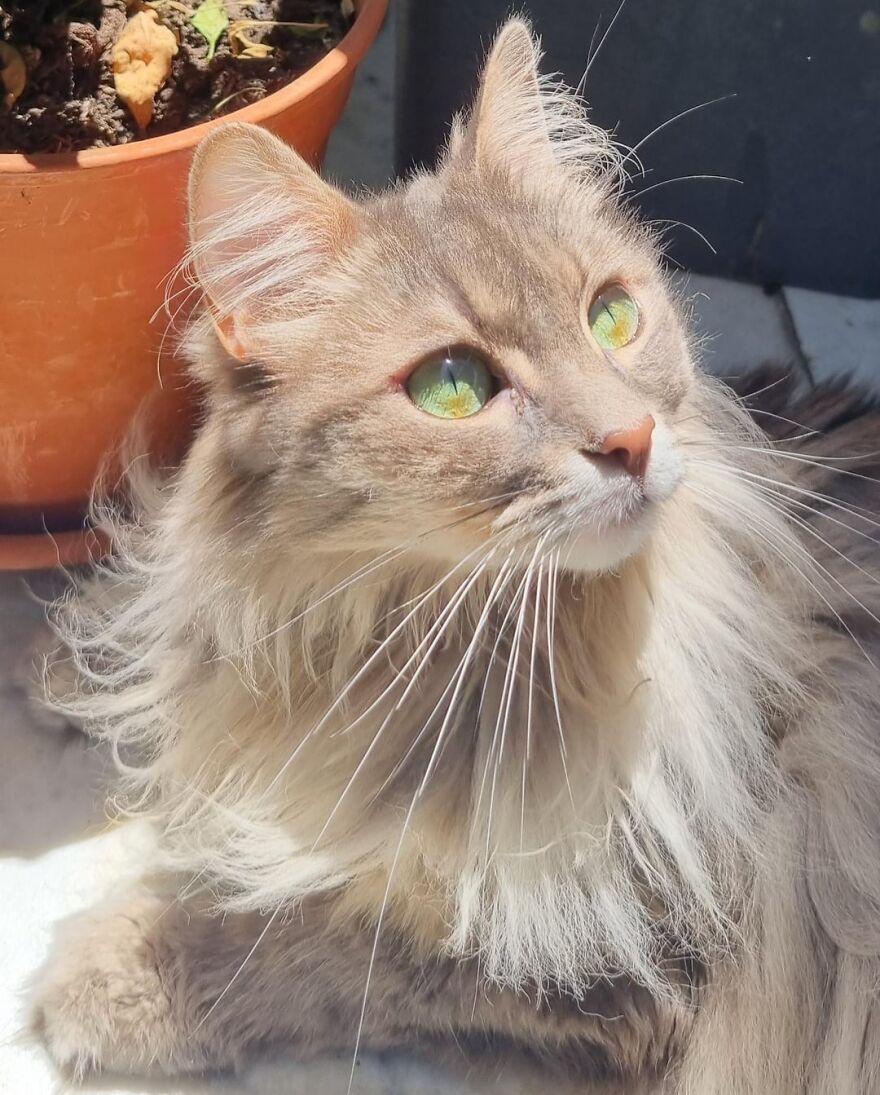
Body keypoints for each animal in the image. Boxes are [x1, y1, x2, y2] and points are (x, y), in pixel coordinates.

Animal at [30, 19, 880, 1095]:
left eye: (610, 316)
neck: (400, 648)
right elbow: (159, 635)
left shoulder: (620, 955)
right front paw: (77, 666)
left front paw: (122, 969)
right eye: (452, 386)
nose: (633, 438)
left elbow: (318, 942)